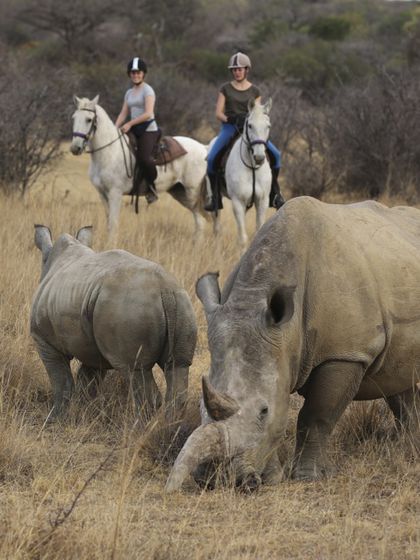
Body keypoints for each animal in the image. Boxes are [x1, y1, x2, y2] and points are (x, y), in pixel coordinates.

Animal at [72, 97, 212, 241]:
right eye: (74, 118)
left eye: (89, 119)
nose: (75, 148)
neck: (109, 152)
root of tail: (203, 147)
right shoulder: (102, 194)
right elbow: (109, 222)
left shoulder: (115, 193)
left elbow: (113, 224)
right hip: (179, 192)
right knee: (200, 218)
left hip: (192, 192)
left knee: (200, 220)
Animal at [225, 98, 274, 249]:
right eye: (250, 126)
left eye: (268, 126)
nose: (259, 157)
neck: (252, 168)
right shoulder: (237, 202)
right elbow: (242, 237)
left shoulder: (262, 201)